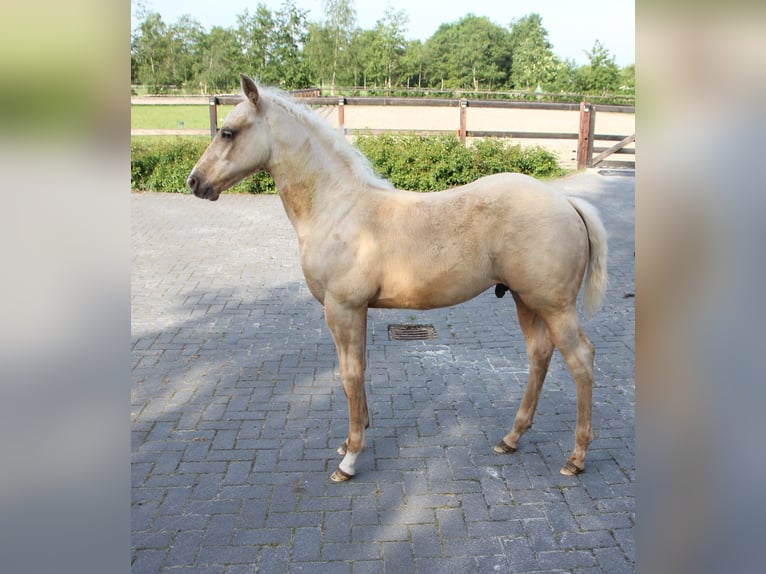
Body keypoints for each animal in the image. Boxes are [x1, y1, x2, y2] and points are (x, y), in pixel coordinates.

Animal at [189, 74, 608, 484]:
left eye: (227, 132)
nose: (195, 182)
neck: (338, 210)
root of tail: (568, 202)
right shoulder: (352, 311)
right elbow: (356, 372)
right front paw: (351, 440)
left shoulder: (343, 309)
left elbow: (350, 375)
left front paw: (350, 459)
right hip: (526, 300)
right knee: (539, 355)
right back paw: (511, 438)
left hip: (554, 306)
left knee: (581, 359)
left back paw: (577, 457)